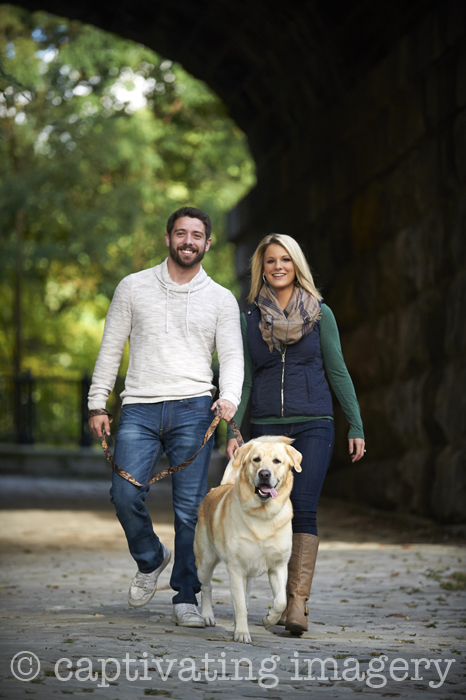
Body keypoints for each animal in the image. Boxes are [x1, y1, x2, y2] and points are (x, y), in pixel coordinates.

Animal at [194, 438, 300, 644]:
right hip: (205, 561)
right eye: (256, 459)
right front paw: (242, 633)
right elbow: (240, 605)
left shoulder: (278, 566)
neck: (263, 514)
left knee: (246, 596)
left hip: (249, 575)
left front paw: (268, 620)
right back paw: (208, 615)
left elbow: (280, 601)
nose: (264, 474)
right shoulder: (236, 569)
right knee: (207, 587)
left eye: (277, 461)